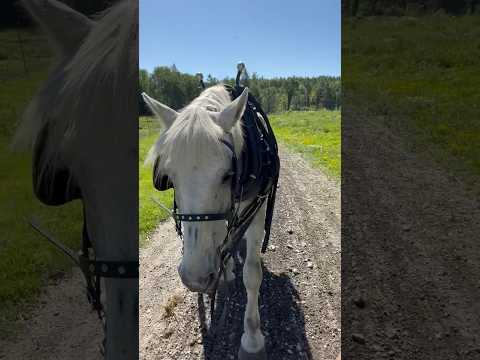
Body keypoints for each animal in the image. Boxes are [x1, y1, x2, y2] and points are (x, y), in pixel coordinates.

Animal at [142, 86, 270, 358]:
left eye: (228, 174)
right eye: (169, 177)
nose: (195, 278)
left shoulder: (258, 208)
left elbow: (253, 273)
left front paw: (252, 338)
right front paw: (225, 270)